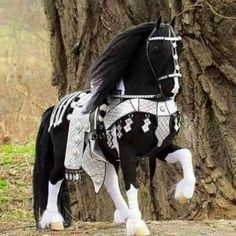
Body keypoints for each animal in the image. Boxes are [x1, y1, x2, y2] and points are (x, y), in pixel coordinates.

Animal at [33, 18, 195, 236]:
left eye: (180, 46)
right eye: (155, 49)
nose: (173, 88)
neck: (145, 99)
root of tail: (55, 108)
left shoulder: (160, 147)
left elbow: (186, 154)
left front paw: (184, 194)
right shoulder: (128, 151)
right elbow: (132, 185)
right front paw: (138, 225)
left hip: (105, 153)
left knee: (109, 181)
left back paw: (125, 215)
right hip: (63, 156)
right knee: (54, 177)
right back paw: (54, 220)